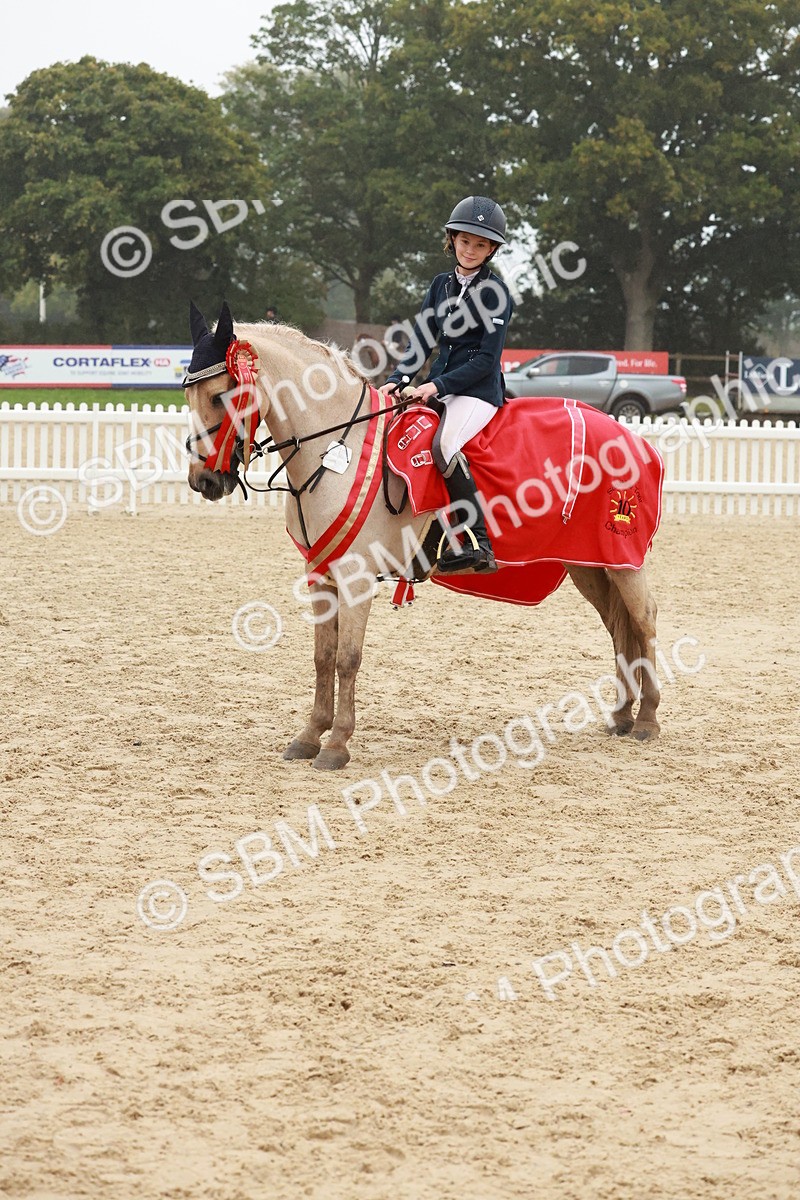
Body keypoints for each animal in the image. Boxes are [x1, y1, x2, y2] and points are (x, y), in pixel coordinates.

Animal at [184, 305, 661, 770]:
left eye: (220, 395)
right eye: (189, 395)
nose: (203, 481)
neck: (337, 448)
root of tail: (634, 438)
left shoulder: (356, 579)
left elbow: (347, 659)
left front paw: (337, 744)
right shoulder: (320, 575)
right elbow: (322, 658)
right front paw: (309, 736)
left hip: (623, 559)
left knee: (643, 622)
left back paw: (647, 720)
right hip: (590, 566)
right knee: (618, 627)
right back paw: (622, 715)